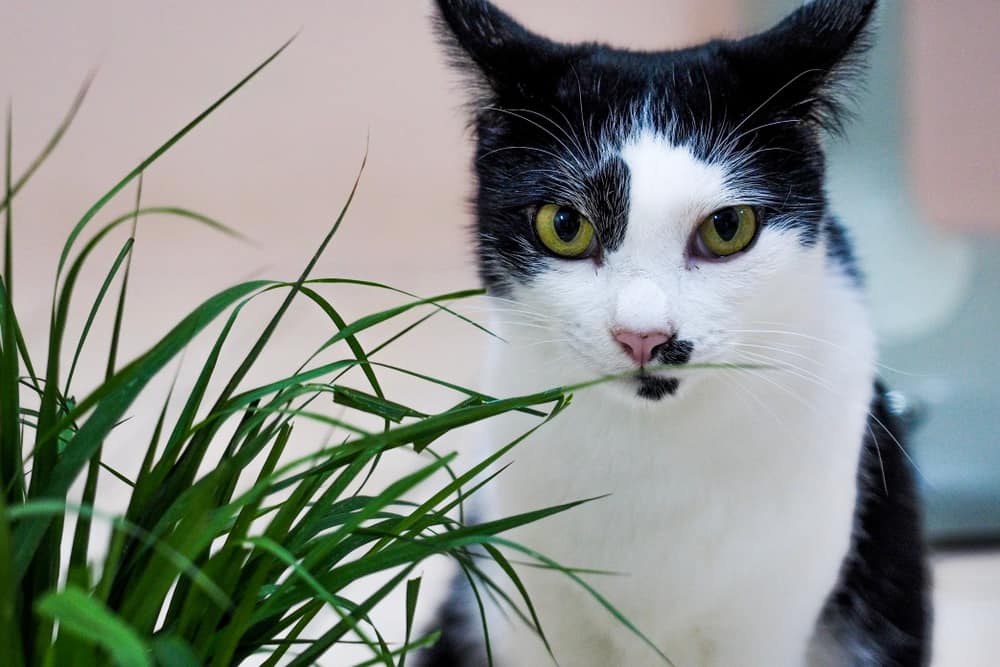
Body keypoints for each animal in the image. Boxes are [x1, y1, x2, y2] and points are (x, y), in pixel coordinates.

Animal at [416, 2, 928, 664]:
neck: (655, 452)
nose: (643, 334)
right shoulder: (534, 599)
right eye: (564, 225)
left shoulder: (768, 615)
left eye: (728, 227)